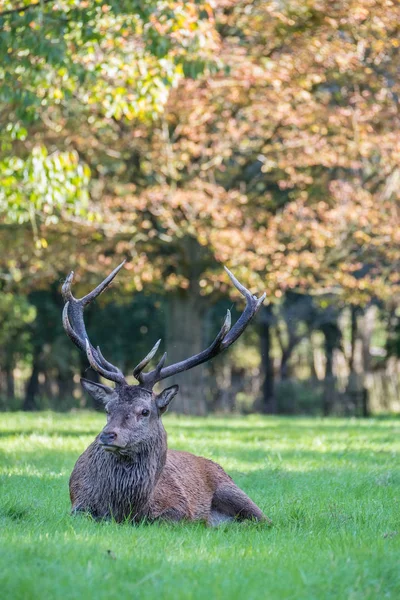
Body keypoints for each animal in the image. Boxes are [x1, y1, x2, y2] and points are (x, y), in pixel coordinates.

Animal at [61, 262, 272, 524]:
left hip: (233, 491)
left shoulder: (179, 509)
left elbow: (170, 518)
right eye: (107, 409)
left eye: (144, 411)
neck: (123, 509)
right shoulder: (77, 504)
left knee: (266, 520)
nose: (108, 435)